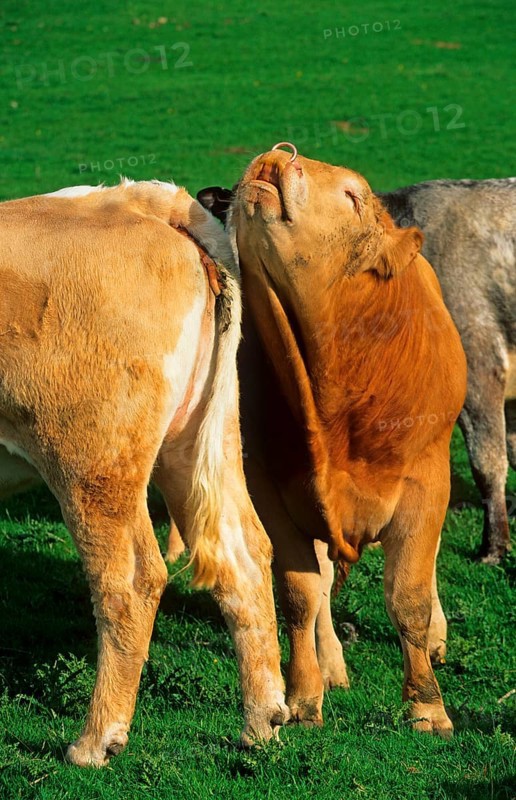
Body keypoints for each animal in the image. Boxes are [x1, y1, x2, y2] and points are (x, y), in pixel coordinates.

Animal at [0, 180, 289, 767]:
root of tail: (152, 203)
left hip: (91, 466)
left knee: (130, 582)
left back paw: (95, 741)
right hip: (197, 441)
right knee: (246, 555)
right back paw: (262, 721)